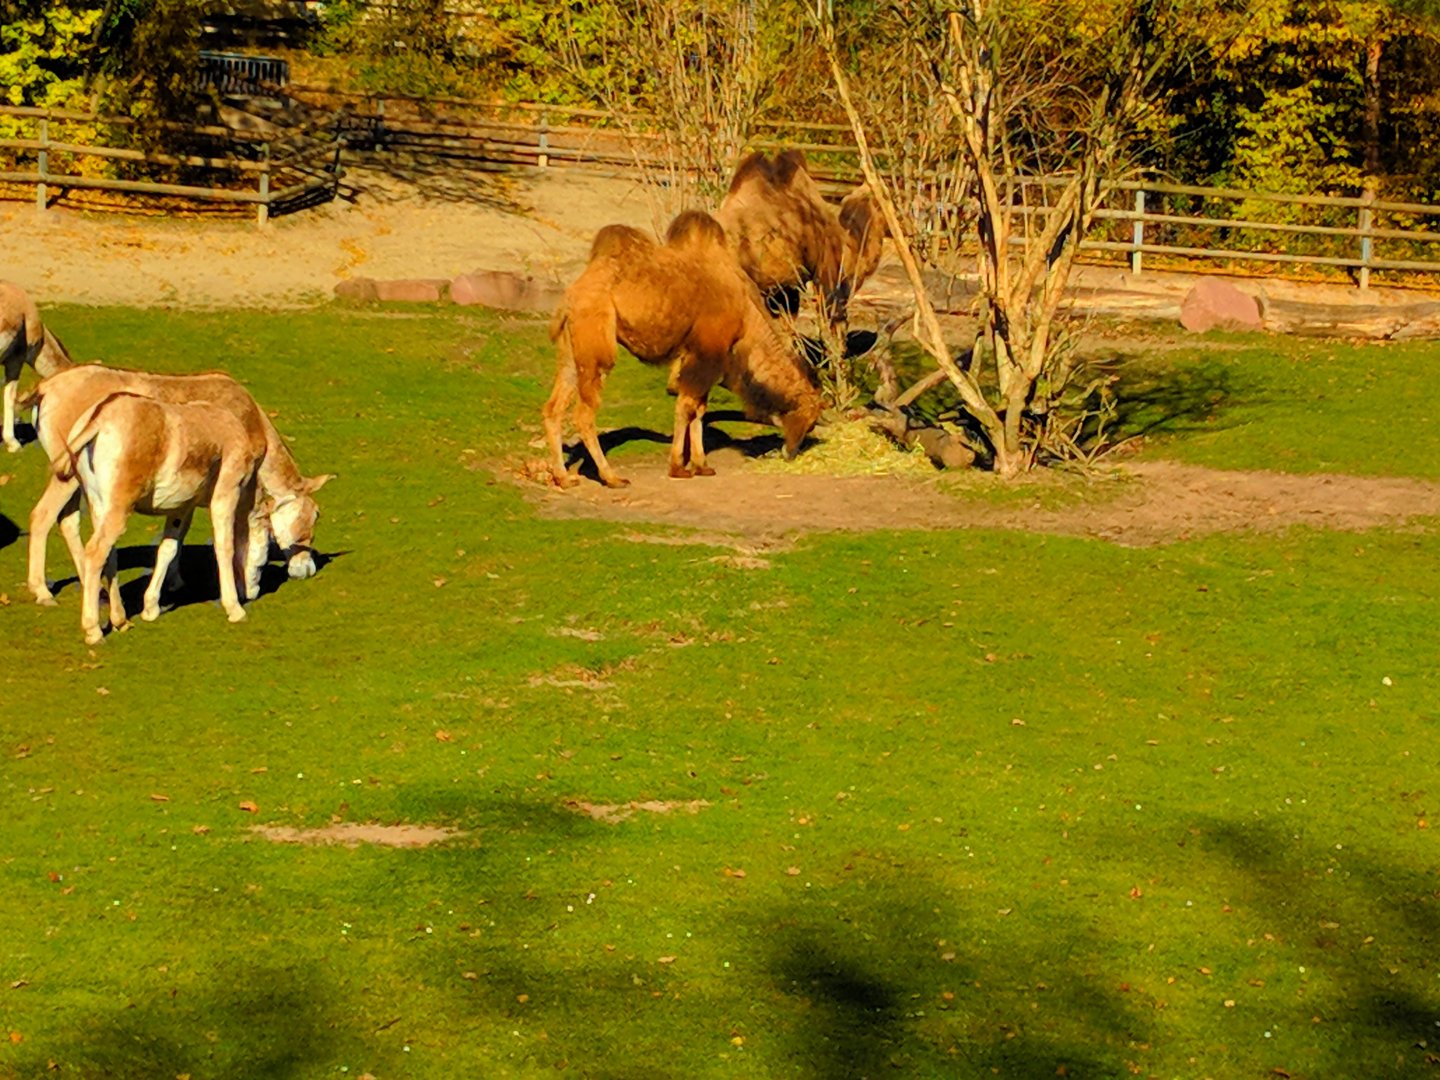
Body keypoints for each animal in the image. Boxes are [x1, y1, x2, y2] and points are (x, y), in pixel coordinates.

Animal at [26, 364, 333, 607]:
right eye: (313, 517)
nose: (308, 569)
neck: (249, 418)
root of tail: (48, 385)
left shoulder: (188, 498)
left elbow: (177, 536)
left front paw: (174, 581)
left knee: (68, 521)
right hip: (67, 478)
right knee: (43, 516)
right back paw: (42, 591)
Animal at [60, 392, 270, 644]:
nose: (254, 592)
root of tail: (102, 415)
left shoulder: (182, 509)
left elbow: (167, 549)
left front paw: (150, 609)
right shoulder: (226, 495)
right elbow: (224, 547)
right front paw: (235, 610)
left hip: (99, 506)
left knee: (109, 555)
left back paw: (120, 620)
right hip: (118, 509)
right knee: (95, 553)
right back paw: (93, 631)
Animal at [543, 210, 823, 488]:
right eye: (810, 420)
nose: (791, 452)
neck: (747, 316)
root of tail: (569, 298)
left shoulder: (703, 358)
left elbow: (699, 409)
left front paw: (701, 465)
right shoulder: (706, 354)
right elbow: (687, 407)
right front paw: (678, 467)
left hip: (571, 353)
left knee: (553, 408)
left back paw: (563, 477)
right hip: (597, 346)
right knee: (584, 413)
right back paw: (611, 477)